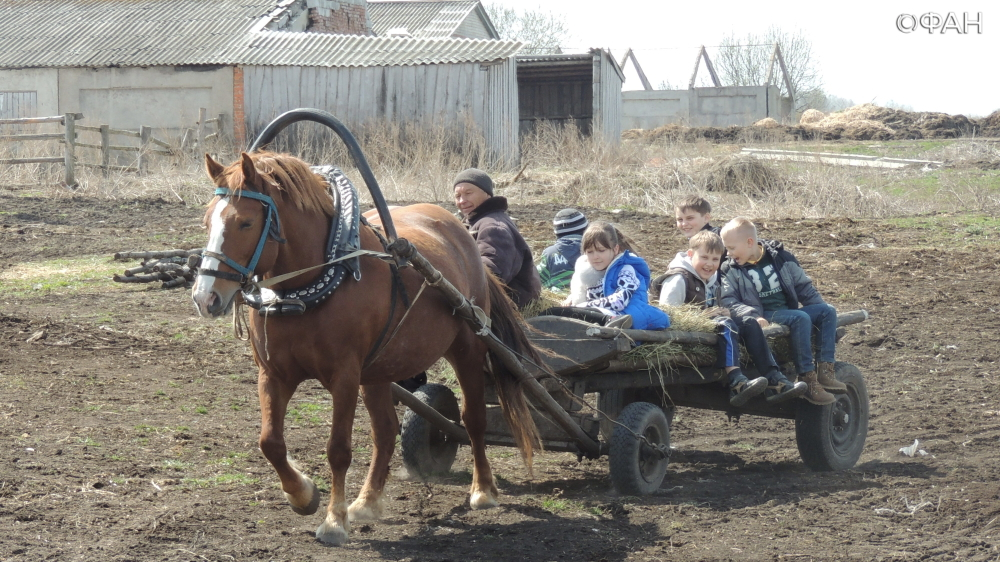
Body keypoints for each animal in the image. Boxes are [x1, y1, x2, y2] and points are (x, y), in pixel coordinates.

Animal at [192, 150, 544, 544]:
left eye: (246, 223)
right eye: (207, 220)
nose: (205, 297)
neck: (306, 289)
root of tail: (458, 230)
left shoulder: (344, 376)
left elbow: (338, 449)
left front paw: (333, 520)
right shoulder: (272, 374)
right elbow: (270, 442)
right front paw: (303, 495)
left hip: (467, 347)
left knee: (473, 419)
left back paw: (483, 490)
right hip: (379, 369)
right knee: (386, 430)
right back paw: (367, 500)